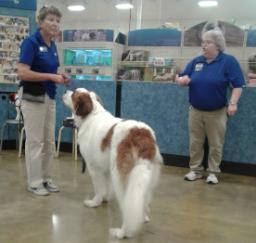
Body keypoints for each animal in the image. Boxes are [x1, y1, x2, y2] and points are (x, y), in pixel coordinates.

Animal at [62, 88, 162, 239]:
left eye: (73, 94)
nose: (65, 91)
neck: (91, 116)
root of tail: (142, 134)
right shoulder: (106, 168)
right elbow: (106, 186)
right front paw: (105, 198)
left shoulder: (94, 168)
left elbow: (99, 188)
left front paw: (95, 202)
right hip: (146, 176)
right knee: (142, 200)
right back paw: (143, 218)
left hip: (122, 178)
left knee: (128, 205)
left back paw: (122, 232)